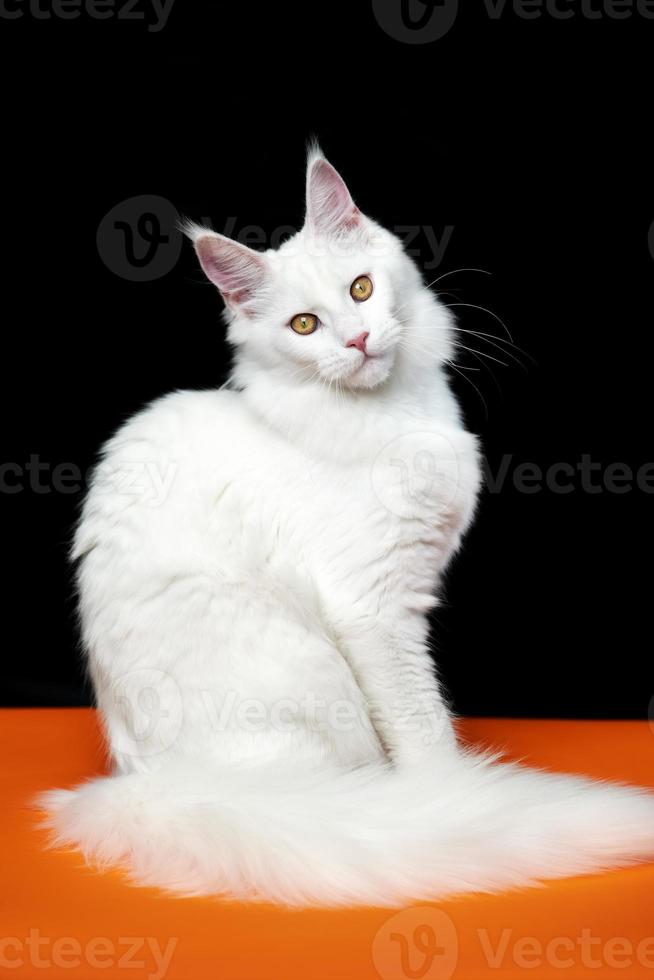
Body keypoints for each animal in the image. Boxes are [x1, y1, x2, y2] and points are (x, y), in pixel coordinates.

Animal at [39, 149, 654, 908]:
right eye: (304, 326)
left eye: (361, 289)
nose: (359, 340)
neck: (396, 414)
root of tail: (150, 784)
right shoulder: (375, 607)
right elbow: (422, 728)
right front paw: (449, 792)